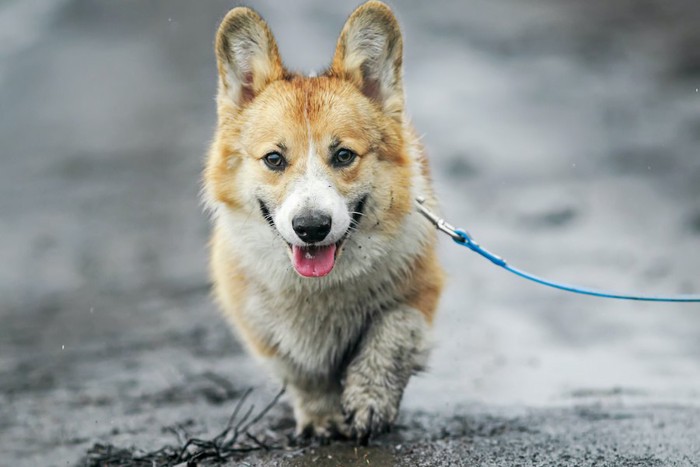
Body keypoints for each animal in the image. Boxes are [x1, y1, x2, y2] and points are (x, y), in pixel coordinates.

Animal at [204, 1, 442, 444]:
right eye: (274, 159)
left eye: (344, 155)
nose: (311, 227)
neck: (319, 289)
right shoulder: (260, 326)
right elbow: (303, 372)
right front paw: (323, 419)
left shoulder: (419, 292)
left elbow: (390, 338)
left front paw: (369, 403)